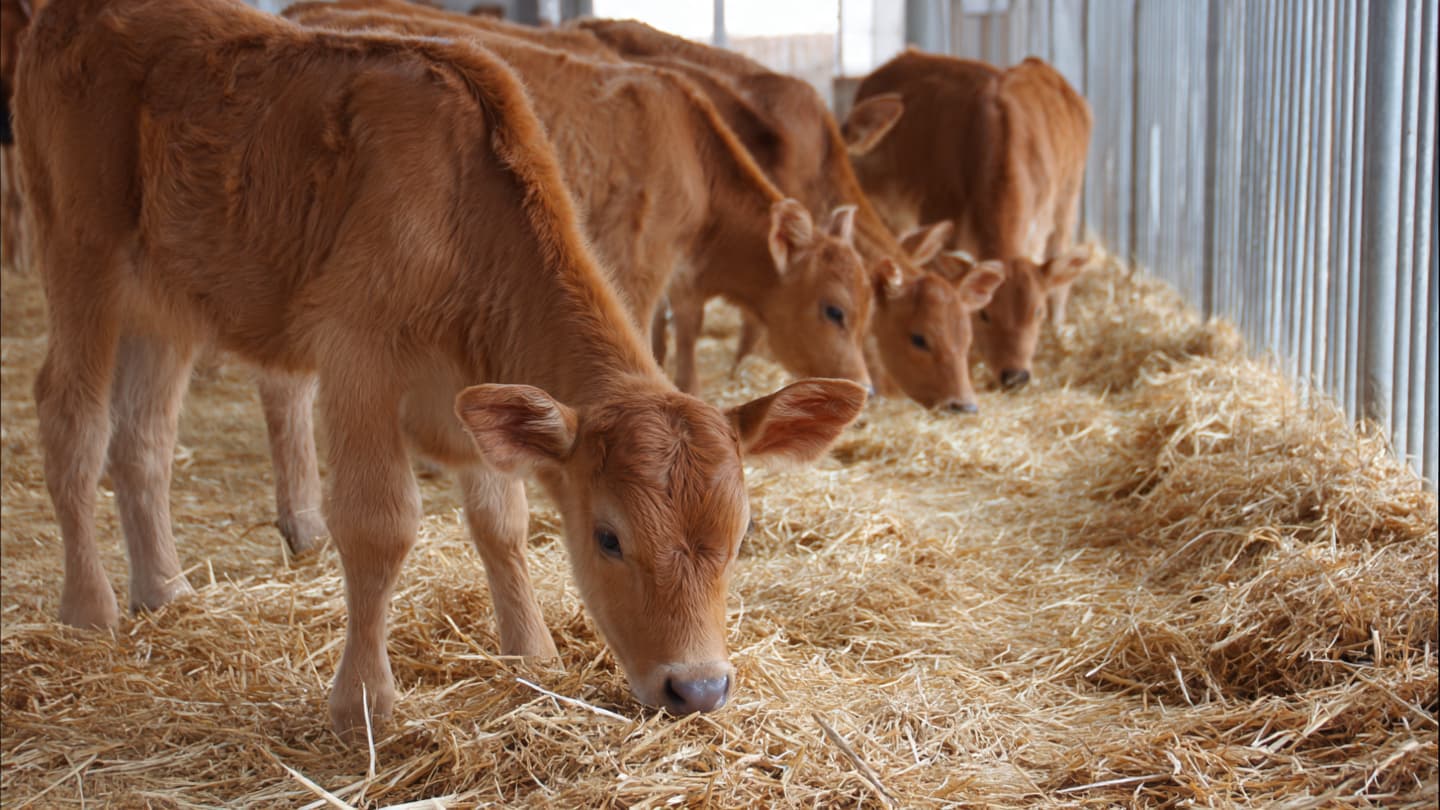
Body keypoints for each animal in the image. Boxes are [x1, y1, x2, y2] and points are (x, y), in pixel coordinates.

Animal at [17, 0, 866, 740]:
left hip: (168, 303)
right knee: (72, 420)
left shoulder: (474, 391)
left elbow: (502, 522)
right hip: (80, 251)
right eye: (607, 536)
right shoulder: (357, 353)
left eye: (741, 532)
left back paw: (163, 592)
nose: (698, 688)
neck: (460, 208)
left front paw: (530, 652)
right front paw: (362, 702)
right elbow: (380, 524)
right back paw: (89, 608)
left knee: (144, 440)